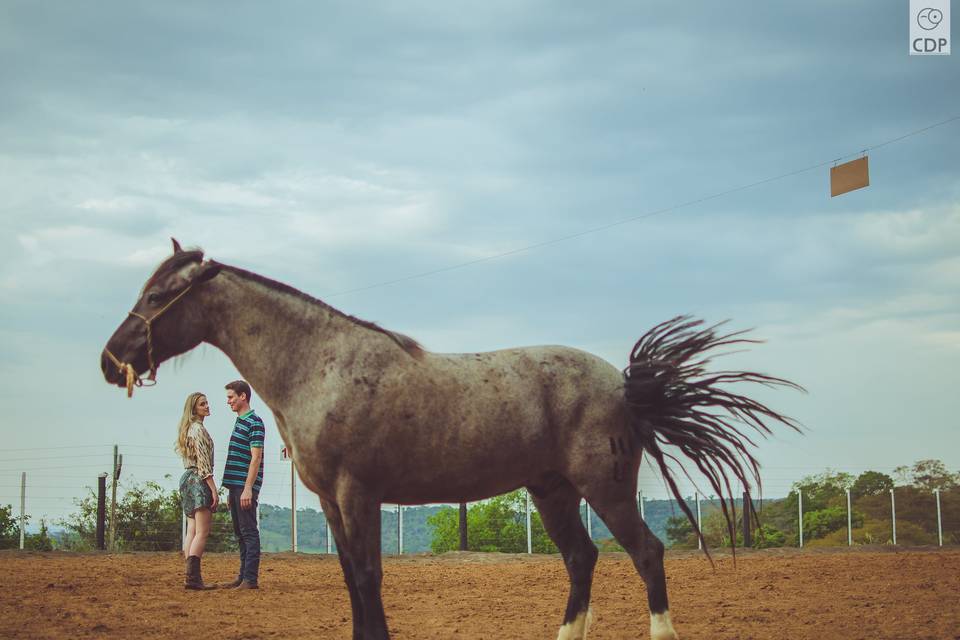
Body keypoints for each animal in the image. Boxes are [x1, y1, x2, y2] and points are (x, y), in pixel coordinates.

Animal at [99, 241, 804, 640]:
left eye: (158, 294)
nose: (110, 361)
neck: (320, 365)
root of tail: (624, 384)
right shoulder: (330, 502)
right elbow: (352, 580)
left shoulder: (358, 495)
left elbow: (369, 577)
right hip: (551, 493)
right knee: (582, 560)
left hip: (604, 489)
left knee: (647, 555)